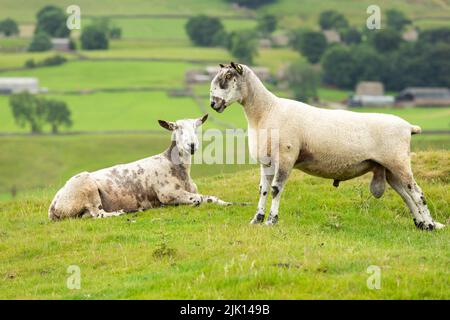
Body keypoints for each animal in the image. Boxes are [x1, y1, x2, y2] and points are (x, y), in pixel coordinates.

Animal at [48, 114, 232, 221]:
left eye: (196, 127)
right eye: (176, 128)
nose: (192, 145)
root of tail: (54, 205)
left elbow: (209, 197)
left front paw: (226, 203)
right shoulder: (168, 194)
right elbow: (201, 199)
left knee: (88, 215)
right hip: (86, 188)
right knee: (97, 214)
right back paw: (121, 212)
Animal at [209, 62, 444, 230]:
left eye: (228, 78)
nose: (213, 103)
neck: (266, 111)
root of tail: (408, 127)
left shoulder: (285, 157)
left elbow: (276, 189)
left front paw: (271, 221)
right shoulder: (266, 162)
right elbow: (263, 190)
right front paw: (256, 219)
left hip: (398, 161)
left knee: (417, 193)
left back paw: (430, 225)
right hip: (389, 168)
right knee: (406, 194)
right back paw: (422, 224)